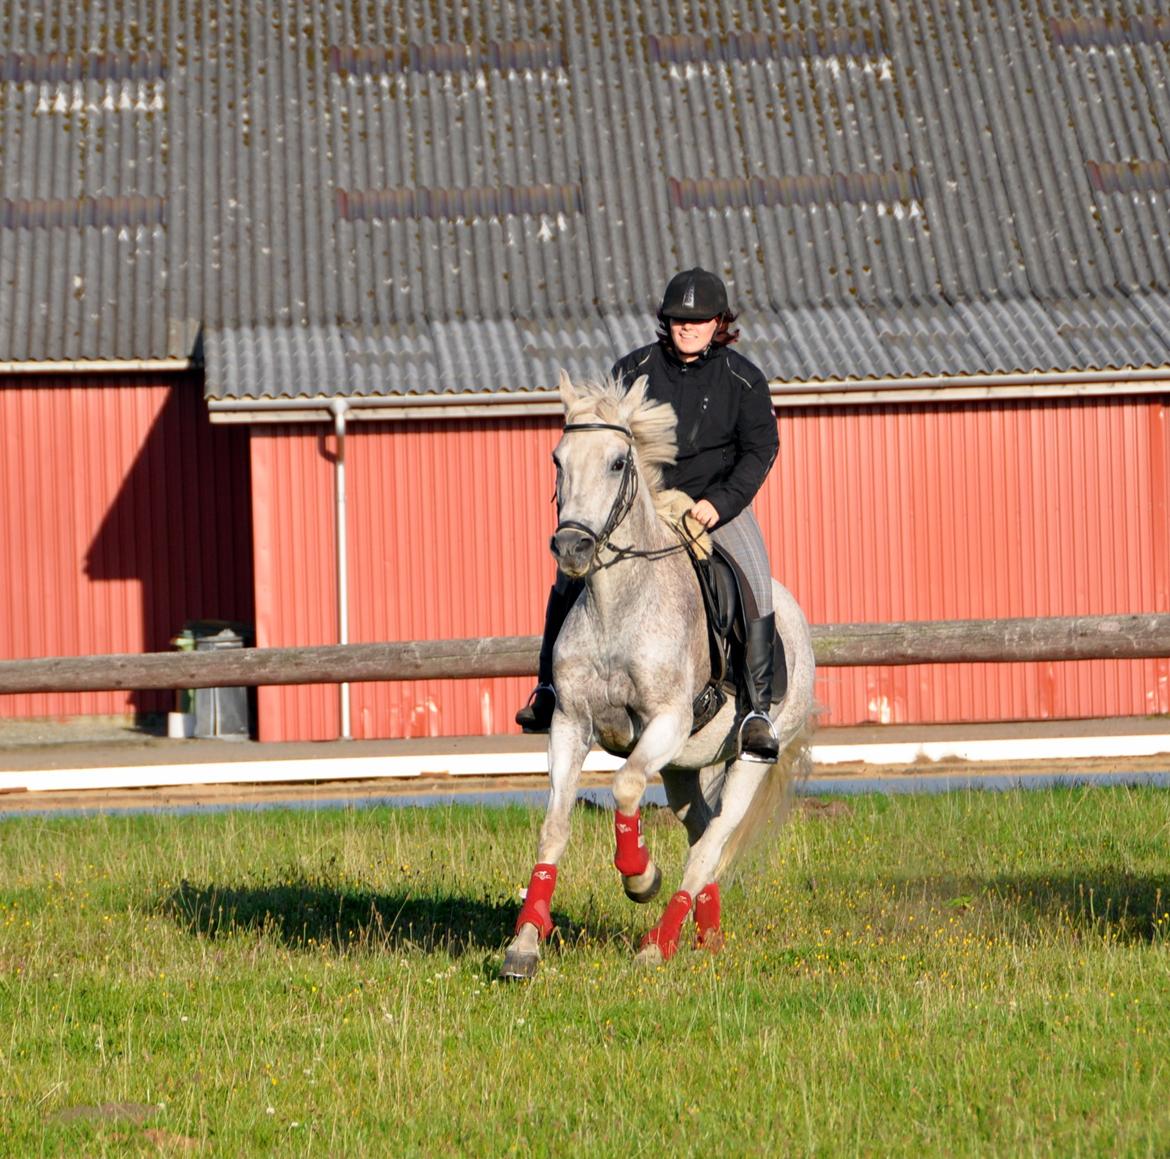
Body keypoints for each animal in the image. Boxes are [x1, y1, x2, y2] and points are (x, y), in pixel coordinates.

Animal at [500, 374, 814, 977]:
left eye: (619, 462)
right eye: (557, 458)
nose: (571, 547)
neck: (617, 606)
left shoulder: (666, 721)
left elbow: (623, 786)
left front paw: (640, 876)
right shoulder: (569, 724)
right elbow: (554, 827)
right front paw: (525, 943)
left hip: (748, 758)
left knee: (710, 845)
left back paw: (658, 943)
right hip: (683, 768)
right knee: (701, 829)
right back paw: (706, 936)